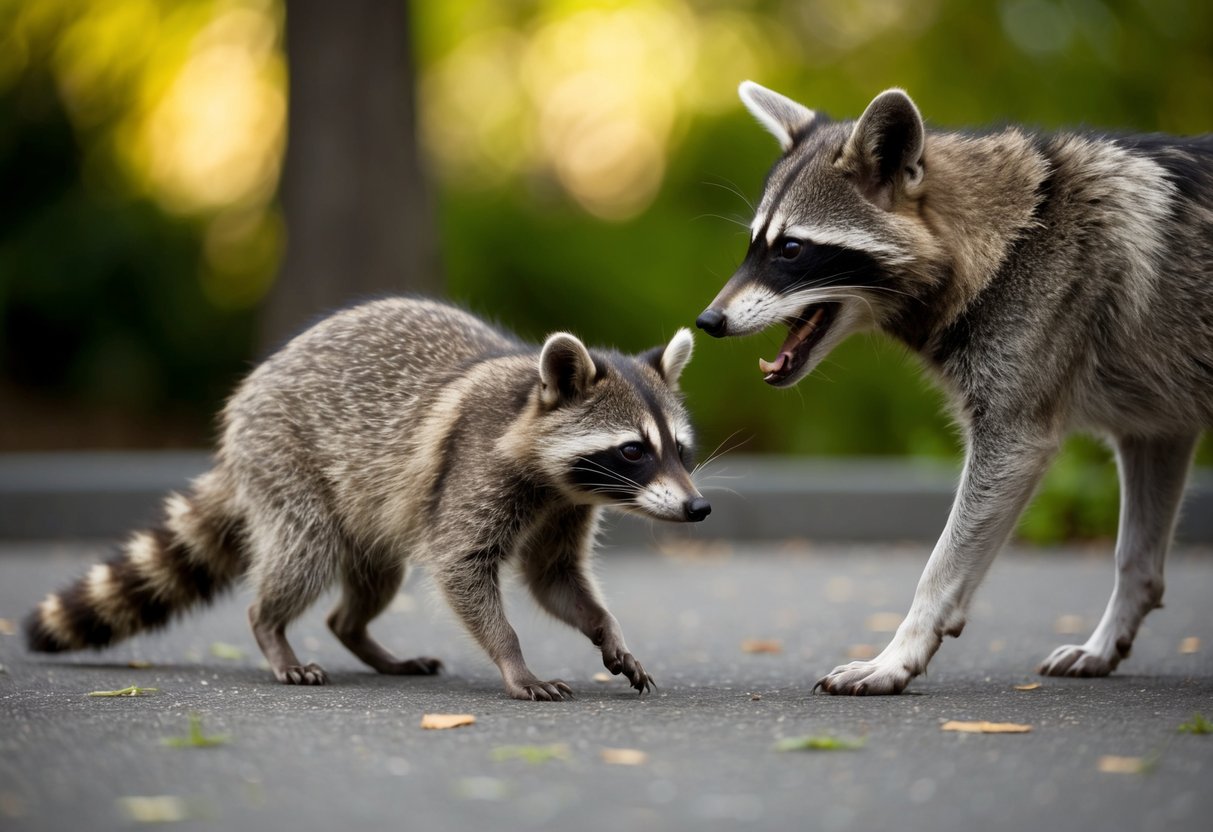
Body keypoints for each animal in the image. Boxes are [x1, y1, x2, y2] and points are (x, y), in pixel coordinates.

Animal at [26, 298, 708, 700]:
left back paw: (358, 635)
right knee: (305, 553)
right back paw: (271, 626)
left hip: (371, 509)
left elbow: (554, 577)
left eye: (681, 449)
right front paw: (514, 661)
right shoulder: (474, 468)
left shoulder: (566, 506)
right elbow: (460, 566)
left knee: (371, 581)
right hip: (284, 458)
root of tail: (246, 402)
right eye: (633, 451)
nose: (697, 509)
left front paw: (605, 628)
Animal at [697, 82, 1213, 694]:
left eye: (791, 250)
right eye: (753, 245)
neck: (1009, 235)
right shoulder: (1157, 422)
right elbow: (1137, 557)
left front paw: (903, 647)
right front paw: (1114, 627)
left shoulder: (1019, 412)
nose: (706, 321)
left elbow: (944, 562)